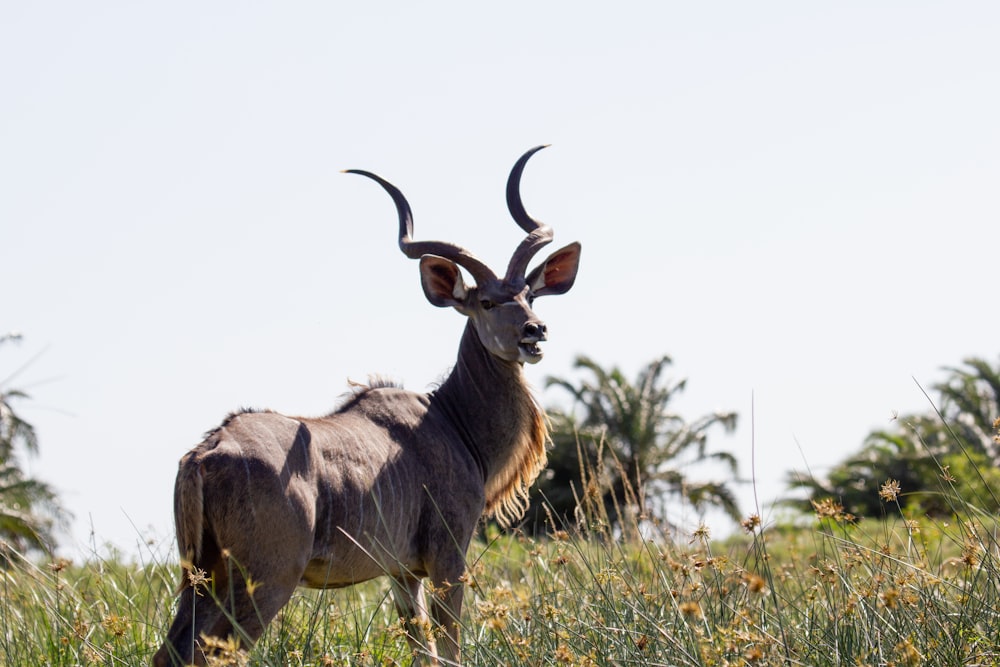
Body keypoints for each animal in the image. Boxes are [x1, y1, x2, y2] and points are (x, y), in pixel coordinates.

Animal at [152, 147, 584, 667]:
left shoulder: (403, 573)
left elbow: (423, 649)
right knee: (206, 651)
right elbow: (450, 647)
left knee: (171, 650)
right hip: (266, 579)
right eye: (485, 301)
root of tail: (204, 453)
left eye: (530, 295)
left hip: (202, 578)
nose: (534, 331)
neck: (452, 421)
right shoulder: (448, 556)